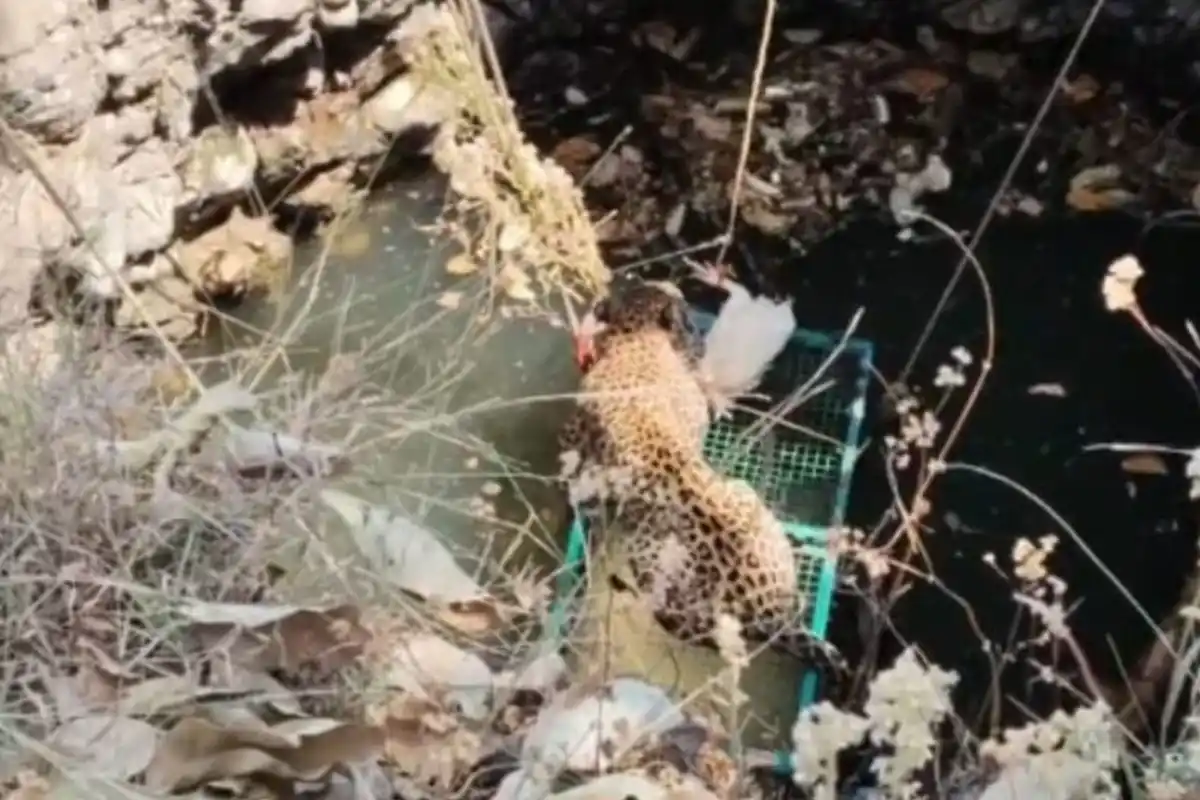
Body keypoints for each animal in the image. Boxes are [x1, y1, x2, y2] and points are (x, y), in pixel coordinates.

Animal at [557, 277, 847, 689]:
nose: (675, 288)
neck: (637, 336)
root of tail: (768, 613)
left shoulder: (576, 432)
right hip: (744, 492)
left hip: (654, 570)